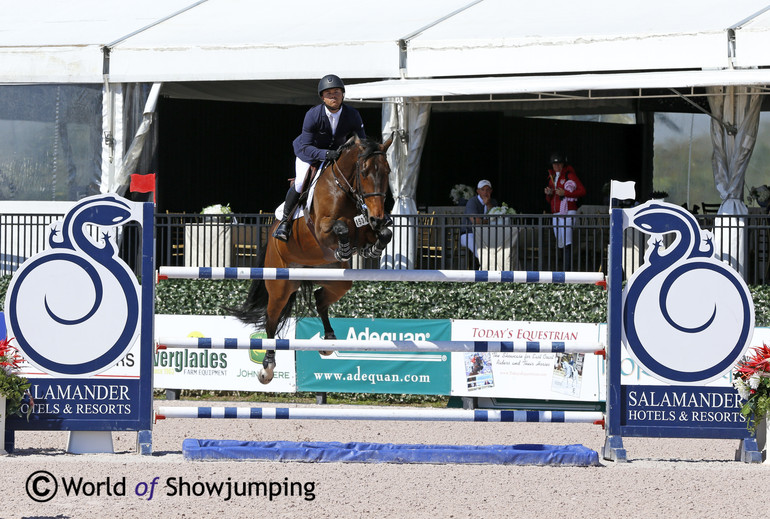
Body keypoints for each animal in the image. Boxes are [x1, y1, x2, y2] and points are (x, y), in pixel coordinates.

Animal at [231, 133, 392, 386]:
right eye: (364, 172)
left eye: (388, 172)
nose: (378, 217)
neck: (344, 189)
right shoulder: (322, 230)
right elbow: (340, 227)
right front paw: (345, 248)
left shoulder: (367, 228)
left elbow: (384, 234)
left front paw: (372, 248)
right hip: (280, 285)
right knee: (271, 318)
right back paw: (267, 368)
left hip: (336, 280)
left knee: (320, 297)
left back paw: (328, 339)